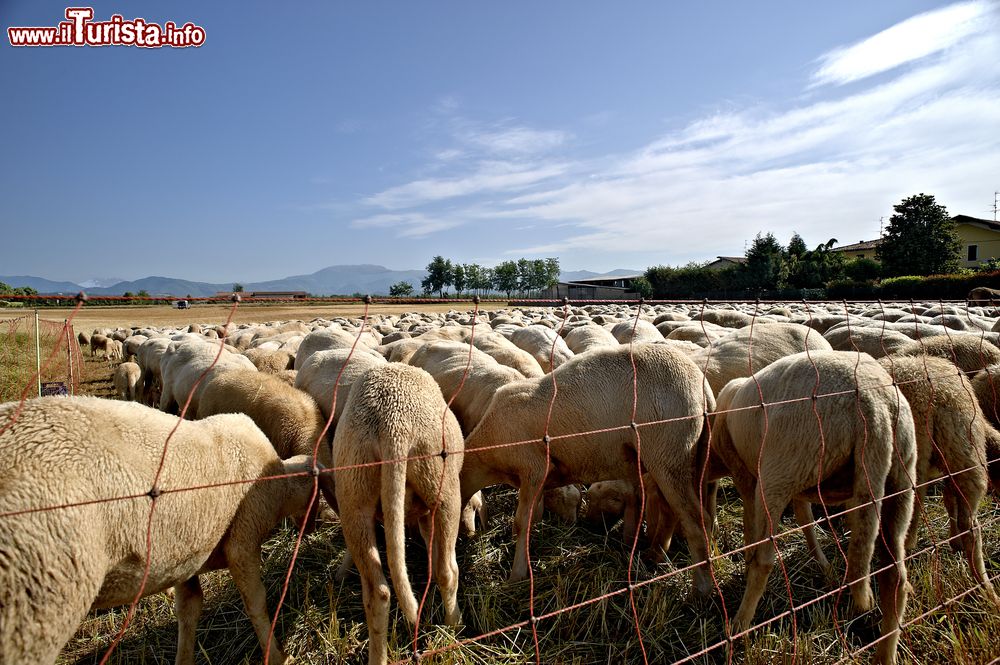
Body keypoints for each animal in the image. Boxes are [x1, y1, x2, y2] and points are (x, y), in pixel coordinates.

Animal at [332, 364, 464, 664]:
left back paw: (378, 657)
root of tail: (393, 425)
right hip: (442, 486)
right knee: (447, 570)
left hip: (354, 492)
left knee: (378, 592)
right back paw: (454, 627)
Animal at [464, 342, 716, 588]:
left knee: (695, 521)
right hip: (669, 459)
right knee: (671, 511)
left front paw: (516, 576)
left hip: (670, 453)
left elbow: (521, 523)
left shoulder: (533, 469)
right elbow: (533, 517)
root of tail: (702, 387)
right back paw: (654, 555)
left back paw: (701, 589)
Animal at [716, 350, 916, 660]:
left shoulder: (746, 476)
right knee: (894, 575)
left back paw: (739, 626)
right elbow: (806, 519)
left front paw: (747, 559)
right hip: (900, 476)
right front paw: (823, 565)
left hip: (781, 468)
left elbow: (752, 524)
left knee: (766, 560)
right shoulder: (804, 488)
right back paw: (886, 654)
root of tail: (874, 404)